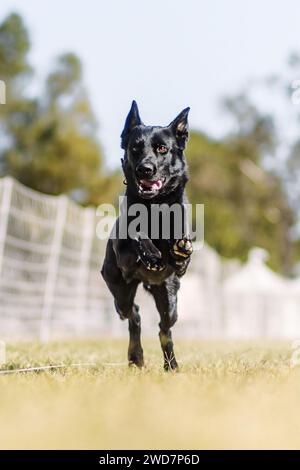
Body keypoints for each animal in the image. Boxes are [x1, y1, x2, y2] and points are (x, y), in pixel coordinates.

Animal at [102, 101, 193, 370]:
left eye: (162, 148)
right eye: (135, 148)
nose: (145, 169)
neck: (155, 207)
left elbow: (180, 253)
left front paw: (179, 250)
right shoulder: (124, 258)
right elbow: (136, 233)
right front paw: (151, 253)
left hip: (170, 300)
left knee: (164, 328)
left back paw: (171, 365)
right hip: (120, 293)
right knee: (135, 316)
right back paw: (136, 357)